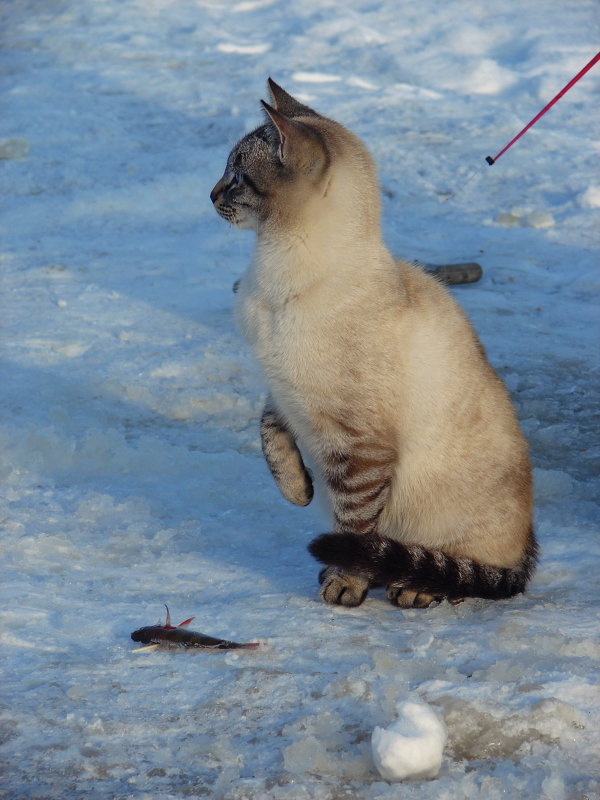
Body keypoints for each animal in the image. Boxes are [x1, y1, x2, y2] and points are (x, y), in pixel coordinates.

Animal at [212, 79, 540, 608]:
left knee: (460, 570)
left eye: (238, 176)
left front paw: (344, 584)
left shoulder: (360, 448)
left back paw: (415, 588)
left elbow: (356, 530)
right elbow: (271, 441)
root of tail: (530, 548)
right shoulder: (281, 392)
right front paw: (298, 493)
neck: (273, 278)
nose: (210, 194)